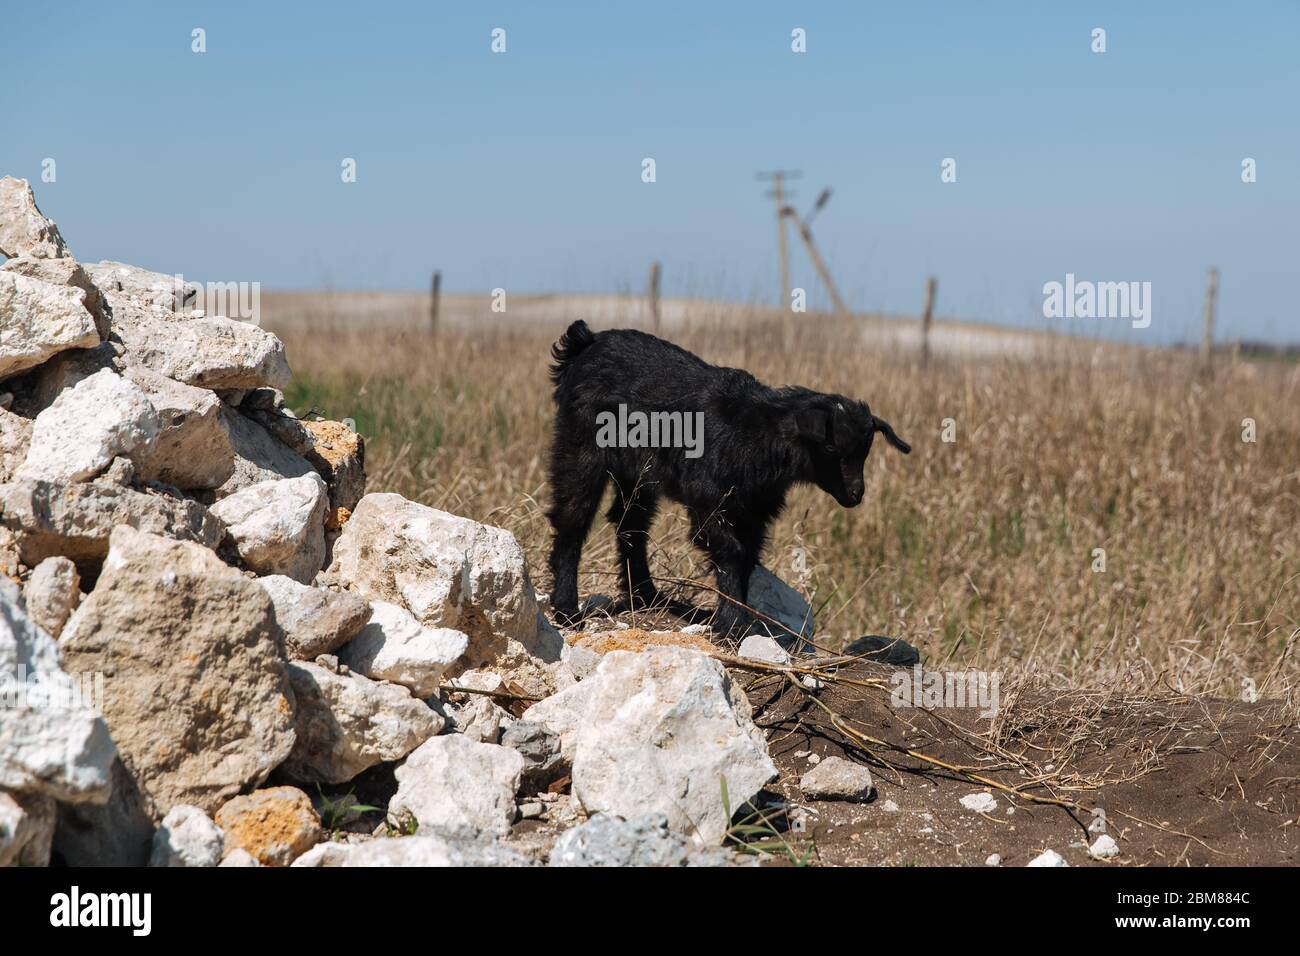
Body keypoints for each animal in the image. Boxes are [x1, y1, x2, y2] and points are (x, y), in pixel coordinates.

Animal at [543, 317, 909, 639]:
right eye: (832, 449)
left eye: (864, 452)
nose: (856, 494)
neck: (758, 433)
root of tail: (585, 341)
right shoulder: (709, 501)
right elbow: (731, 552)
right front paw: (732, 623)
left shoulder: (754, 511)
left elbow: (747, 557)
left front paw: (738, 618)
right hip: (580, 448)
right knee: (573, 519)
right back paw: (567, 609)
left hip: (638, 472)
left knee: (630, 522)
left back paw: (647, 596)